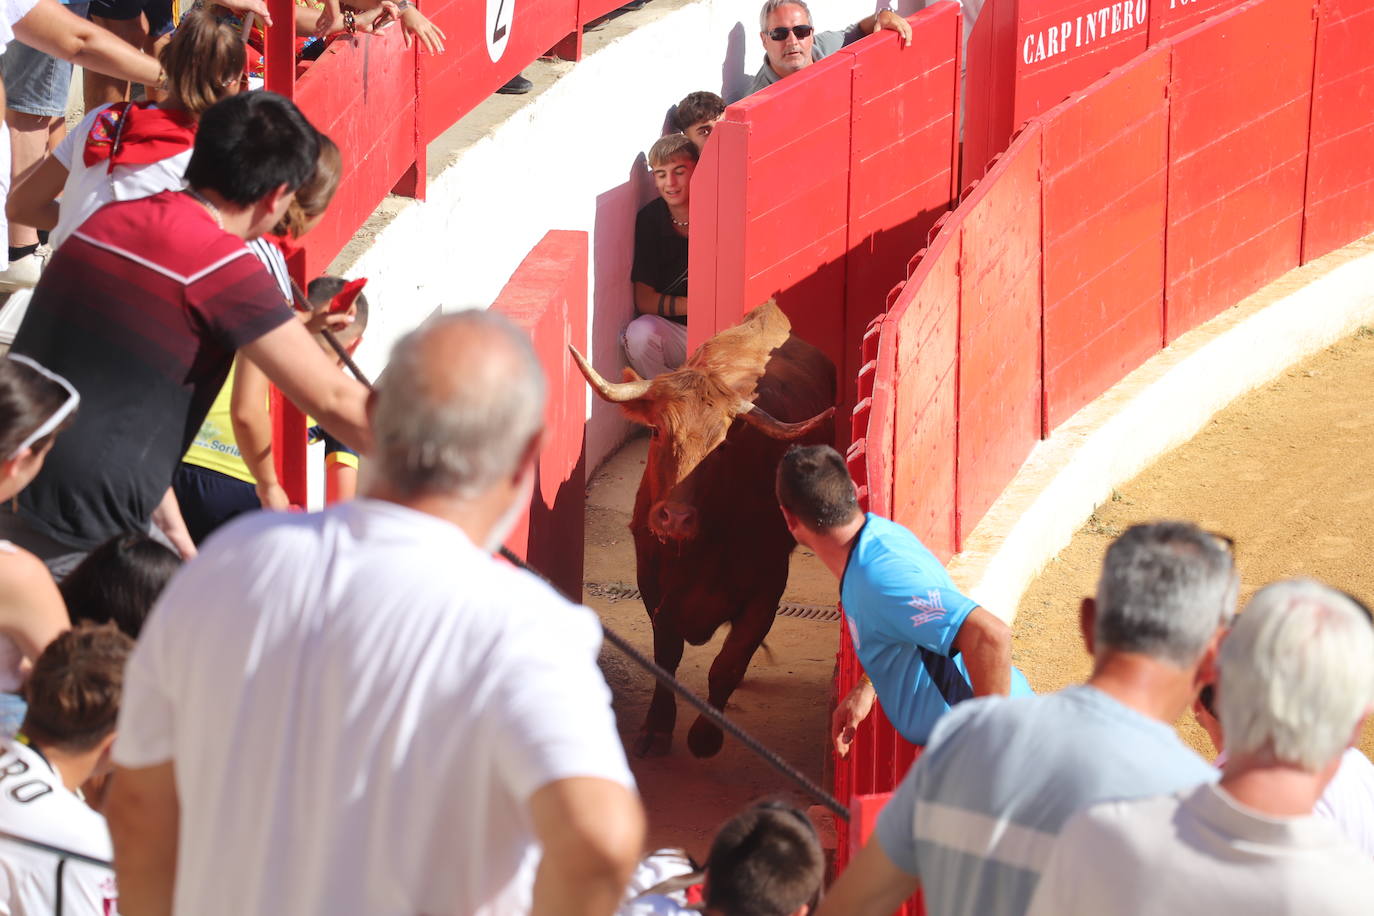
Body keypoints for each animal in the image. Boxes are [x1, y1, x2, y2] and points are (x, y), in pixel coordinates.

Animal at [571, 304, 829, 758]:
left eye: (723, 446)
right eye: (657, 431)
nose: (674, 518)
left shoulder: (768, 586)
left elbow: (728, 663)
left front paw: (706, 736)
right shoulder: (652, 579)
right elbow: (667, 654)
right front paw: (657, 728)